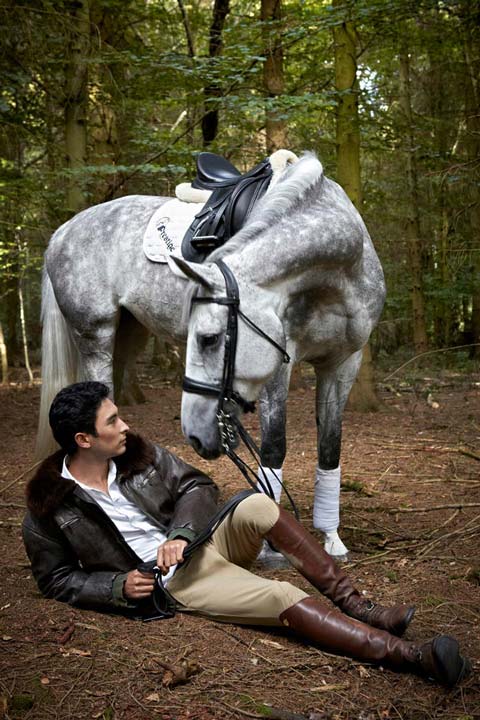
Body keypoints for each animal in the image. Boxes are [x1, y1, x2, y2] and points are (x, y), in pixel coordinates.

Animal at [36, 151, 385, 559]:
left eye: (208, 339)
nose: (193, 433)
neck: (336, 273)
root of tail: (62, 233)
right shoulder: (278, 365)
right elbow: (274, 448)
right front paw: (272, 543)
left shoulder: (344, 363)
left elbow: (330, 448)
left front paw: (331, 537)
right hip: (96, 335)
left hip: (128, 336)